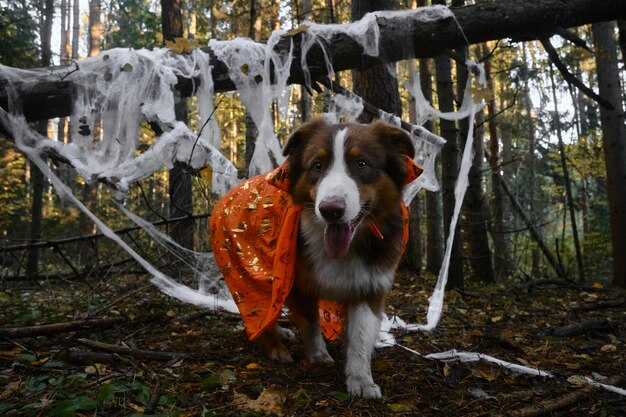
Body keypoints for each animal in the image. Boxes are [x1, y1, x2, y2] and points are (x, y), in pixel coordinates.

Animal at [210, 117, 420, 396]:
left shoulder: (370, 283)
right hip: (246, 269)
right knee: (257, 310)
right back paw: (275, 347)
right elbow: (310, 322)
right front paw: (319, 357)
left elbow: (361, 336)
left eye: (362, 163)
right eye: (317, 165)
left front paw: (361, 380)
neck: (348, 248)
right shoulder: (296, 282)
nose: (330, 210)